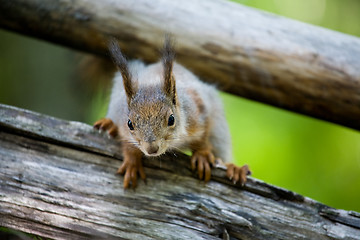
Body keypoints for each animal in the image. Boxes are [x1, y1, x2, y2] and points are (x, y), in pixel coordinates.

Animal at [93, 36, 250, 188]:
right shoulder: (122, 121)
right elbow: (128, 144)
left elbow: (203, 135)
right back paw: (108, 124)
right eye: (130, 124)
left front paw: (202, 154)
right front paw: (132, 162)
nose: (151, 149)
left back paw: (234, 168)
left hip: (218, 127)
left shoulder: (198, 110)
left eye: (171, 119)